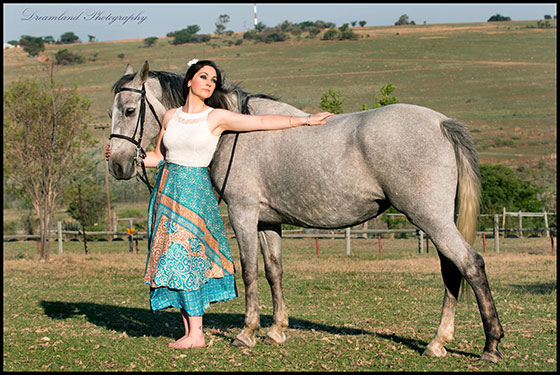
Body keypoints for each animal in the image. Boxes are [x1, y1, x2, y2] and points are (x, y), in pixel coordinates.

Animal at [108, 62, 504, 364]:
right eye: (110, 112)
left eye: (129, 111)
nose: (117, 164)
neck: (234, 130)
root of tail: (441, 123)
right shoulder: (268, 222)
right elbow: (273, 271)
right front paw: (276, 330)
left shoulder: (243, 213)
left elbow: (249, 271)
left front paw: (247, 332)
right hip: (438, 221)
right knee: (452, 272)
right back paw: (439, 342)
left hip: (431, 219)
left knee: (470, 265)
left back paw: (490, 345)